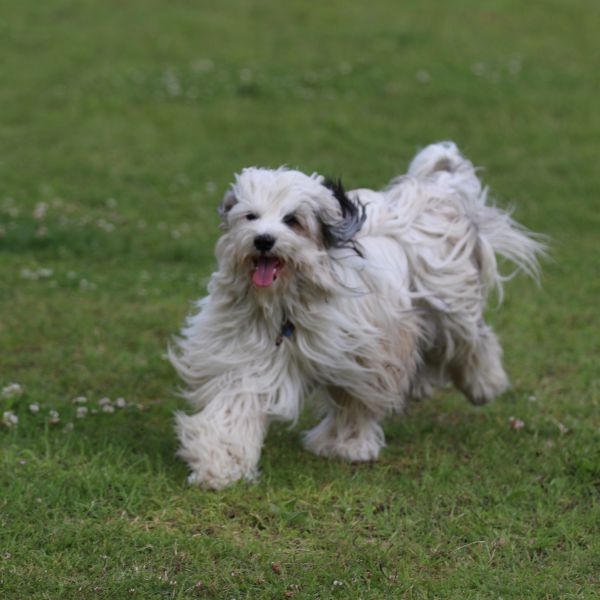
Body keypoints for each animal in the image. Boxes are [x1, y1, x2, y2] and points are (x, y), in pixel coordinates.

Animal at [170, 143, 544, 490]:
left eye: (292, 220)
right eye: (250, 217)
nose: (263, 240)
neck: (288, 302)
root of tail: (430, 195)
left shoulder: (367, 353)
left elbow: (355, 401)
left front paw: (347, 445)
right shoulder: (249, 354)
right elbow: (237, 402)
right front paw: (219, 462)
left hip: (448, 302)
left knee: (472, 339)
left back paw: (485, 383)